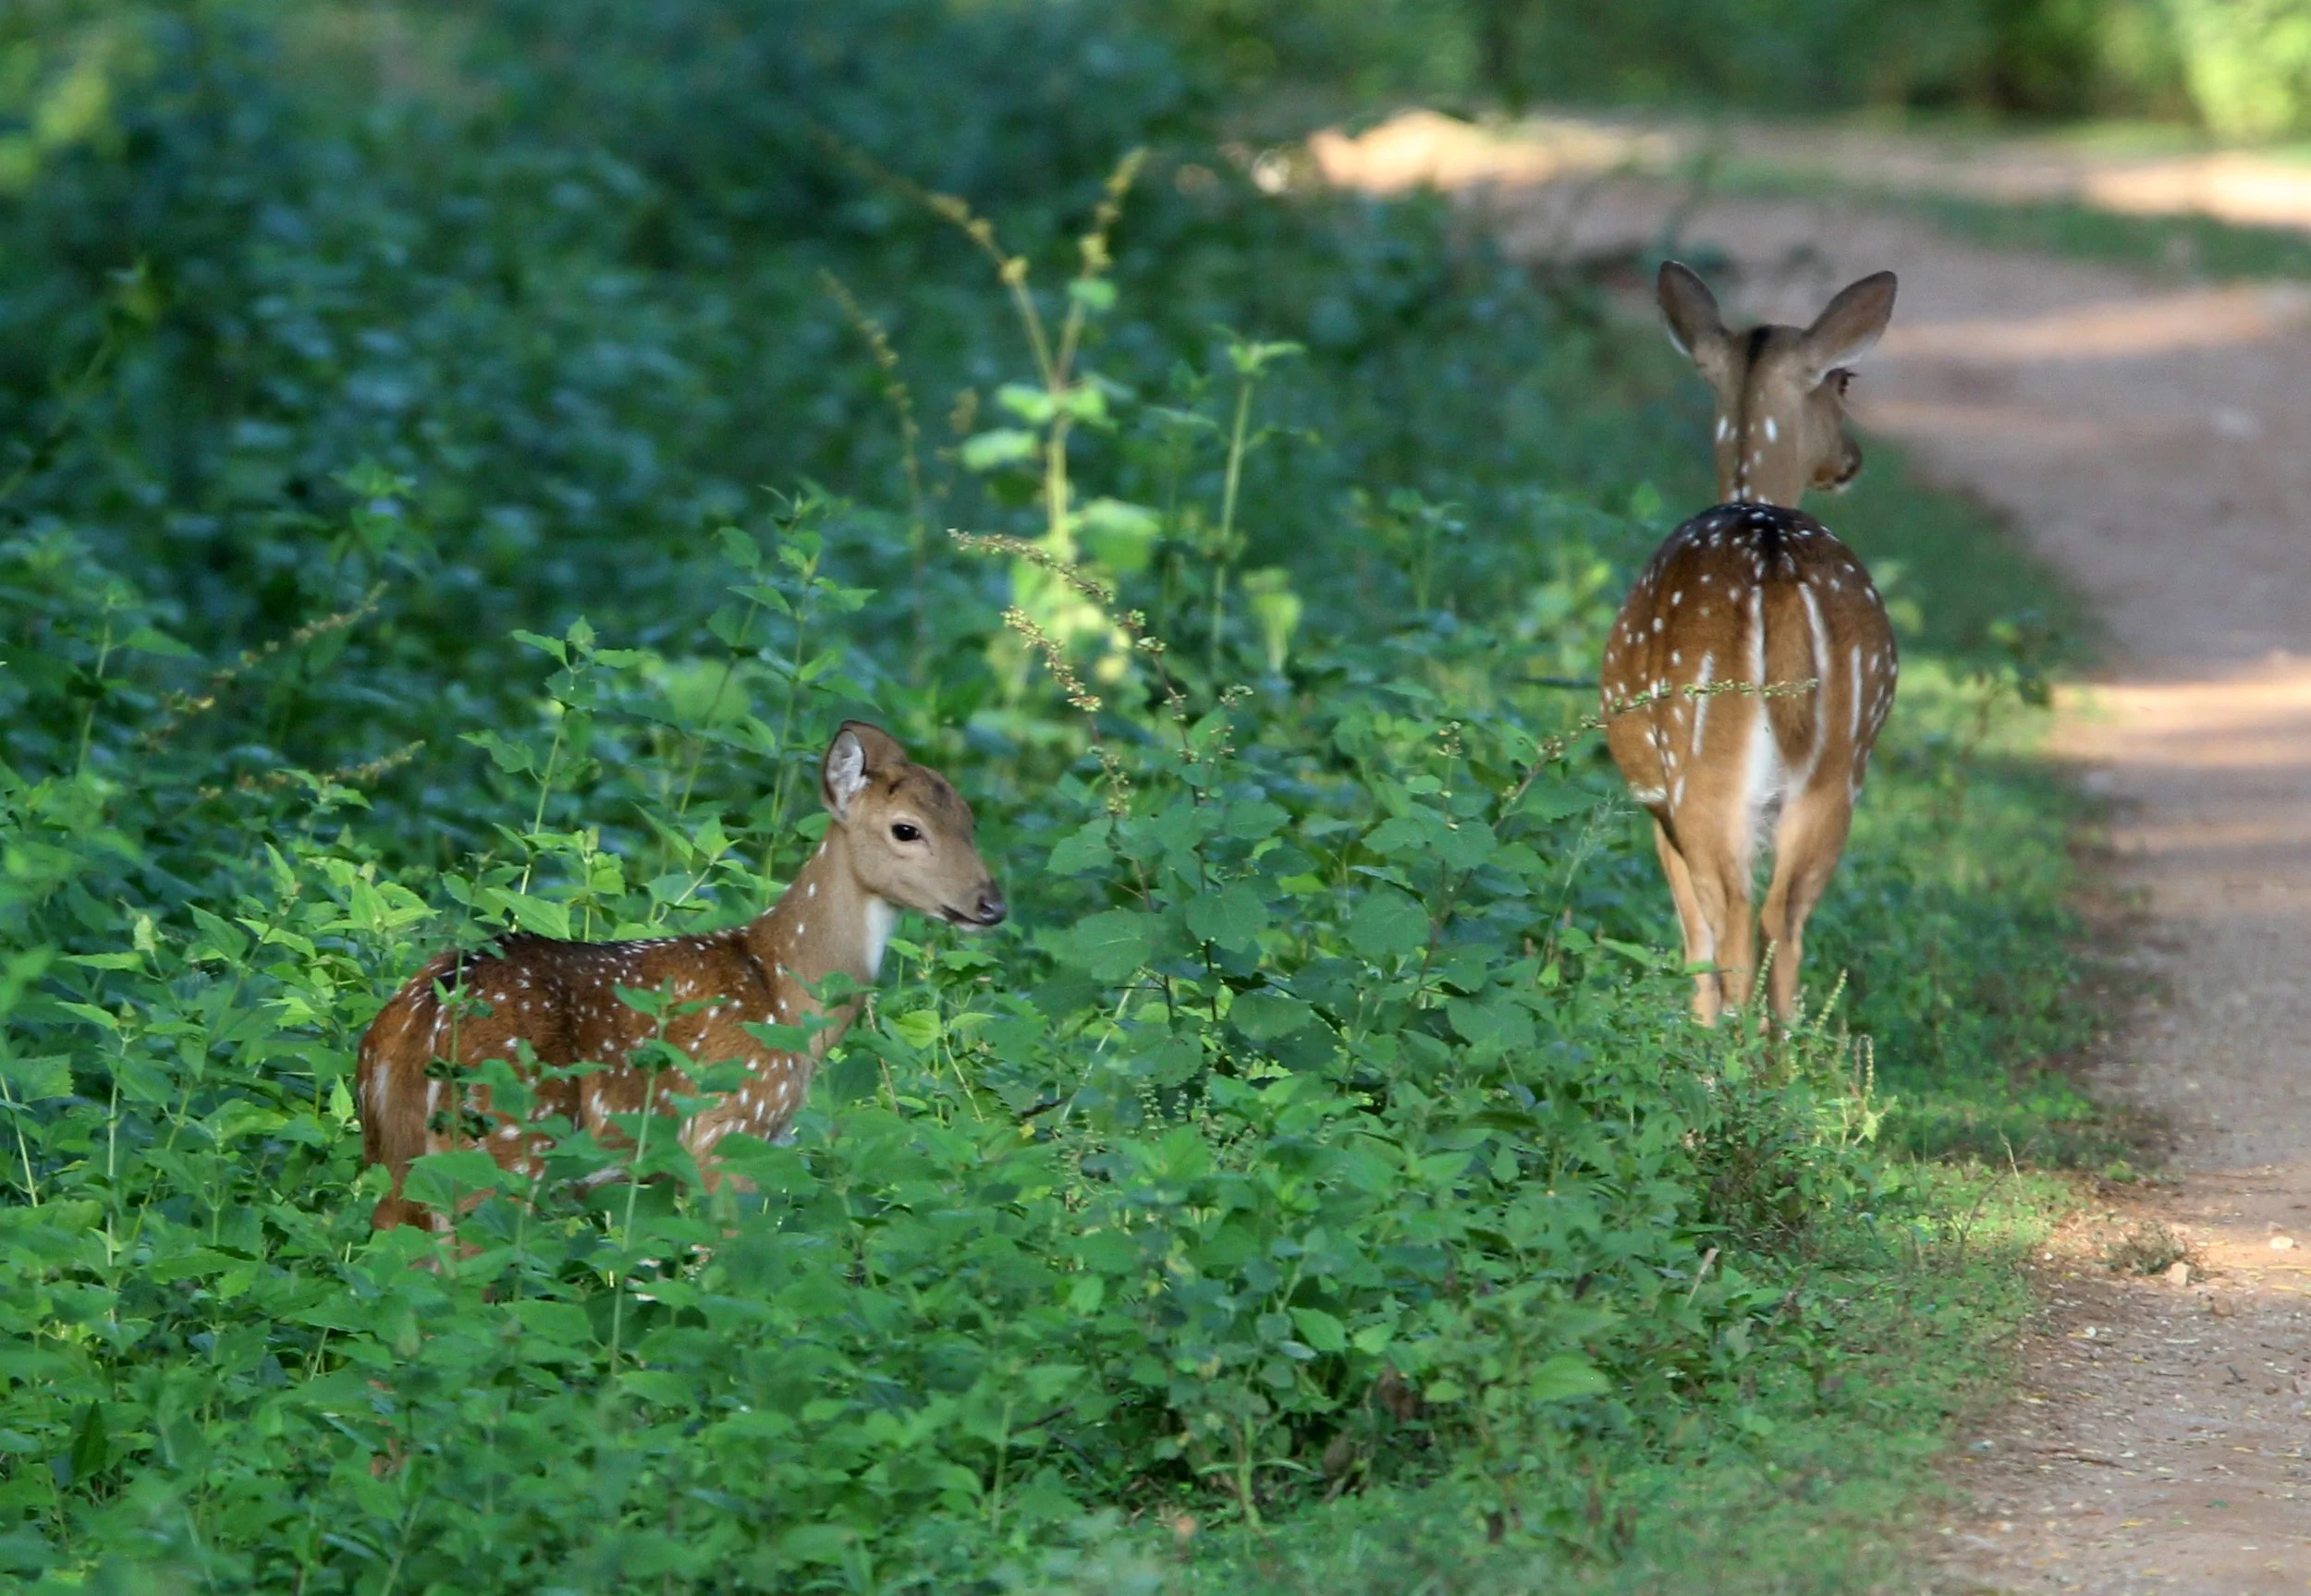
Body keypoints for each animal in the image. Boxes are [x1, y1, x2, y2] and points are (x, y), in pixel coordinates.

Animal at [355, 721, 1006, 1231]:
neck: (785, 993)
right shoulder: (732, 1128)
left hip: (397, 1166)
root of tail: (414, 1024)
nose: (991, 904)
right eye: (906, 829)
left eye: (971, 820)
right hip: (504, 1146)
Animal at [1598, 262, 1900, 1026]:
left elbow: (1693, 938)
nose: (1852, 460)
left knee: (1731, 925)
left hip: (1700, 764)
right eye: (1844, 381)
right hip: (1836, 771)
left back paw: (1724, 1056)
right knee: (1782, 919)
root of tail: (1775, 566)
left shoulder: (1655, 802)